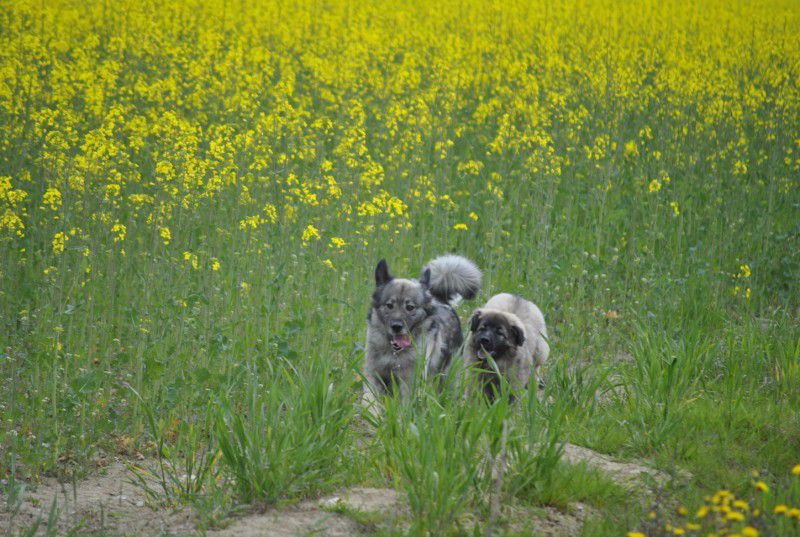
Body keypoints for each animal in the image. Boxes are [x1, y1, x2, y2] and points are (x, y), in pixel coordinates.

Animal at [362, 253, 482, 400]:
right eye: (389, 305)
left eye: (410, 307)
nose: (396, 326)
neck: (395, 354)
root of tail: (441, 299)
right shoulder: (373, 375)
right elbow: (369, 400)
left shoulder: (409, 382)